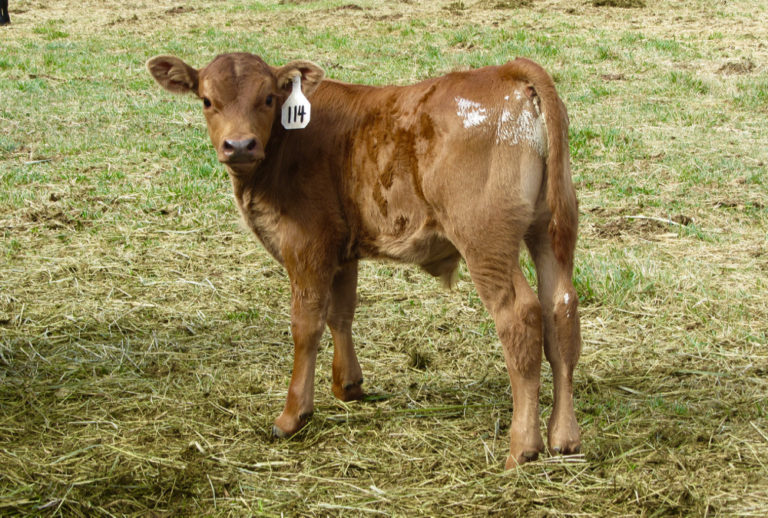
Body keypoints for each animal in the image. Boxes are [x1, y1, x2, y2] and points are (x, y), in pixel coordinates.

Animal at [147, 52, 581, 467]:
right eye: (207, 100)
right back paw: (564, 438)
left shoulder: (307, 245)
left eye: (268, 98)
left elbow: (306, 325)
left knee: (521, 318)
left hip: (486, 240)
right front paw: (347, 386)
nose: (239, 145)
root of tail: (506, 71)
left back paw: (522, 447)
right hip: (549, 231)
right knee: (560, 311)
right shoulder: (342, 250)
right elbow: (341, 314)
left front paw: (293, 415)